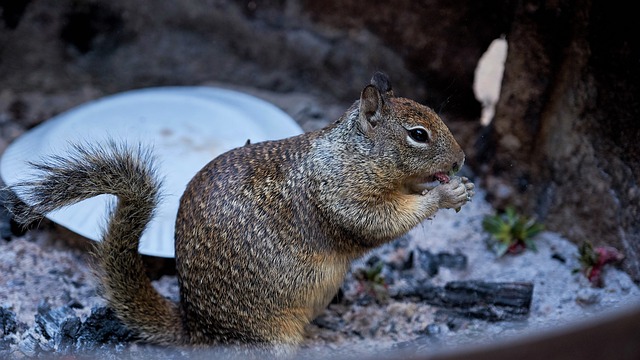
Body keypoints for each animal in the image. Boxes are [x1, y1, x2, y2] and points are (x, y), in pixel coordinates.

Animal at [5, 71, 476, 354]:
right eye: (418, 134)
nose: (460, 161)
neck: (351, 153)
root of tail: (198, 333)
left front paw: (454, 188)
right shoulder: (342, 195)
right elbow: (378, 222)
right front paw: (443, 195)